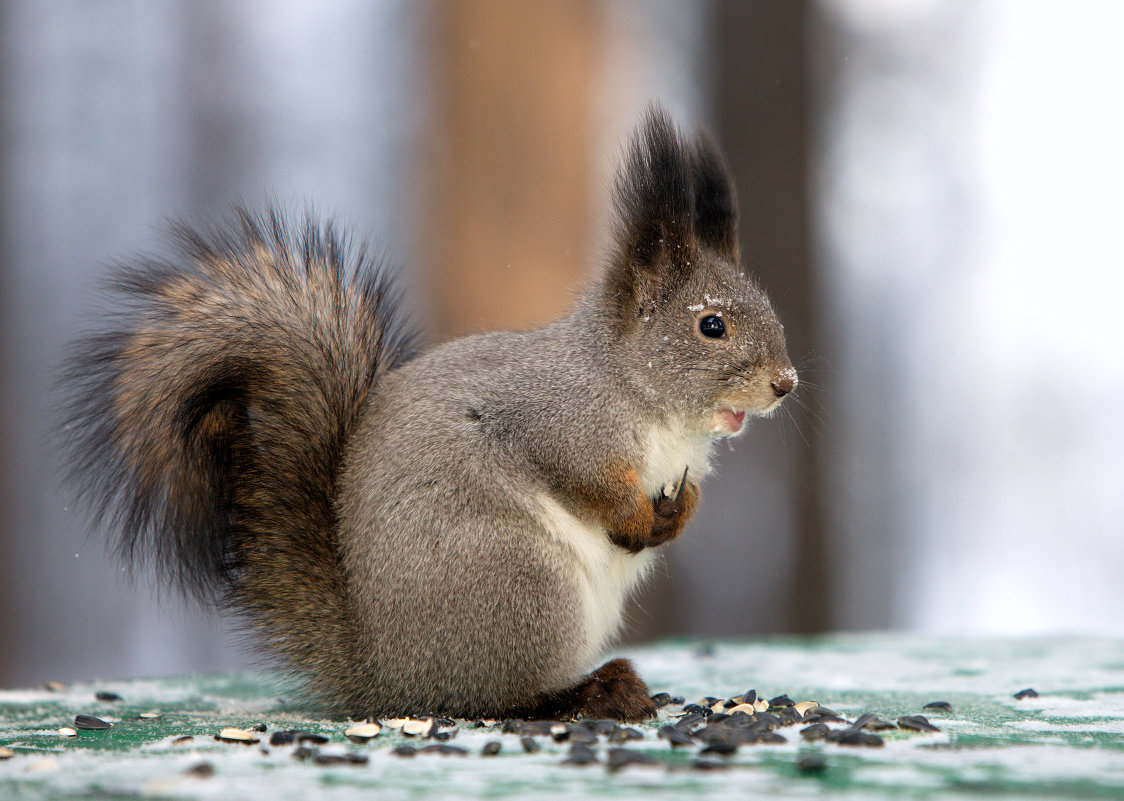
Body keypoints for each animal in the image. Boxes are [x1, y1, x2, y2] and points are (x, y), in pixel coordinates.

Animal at [63, 103, 800, 723]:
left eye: (766, 306)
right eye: (711, 326)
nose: (786, 383)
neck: (644, 399)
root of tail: (386, 676)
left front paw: (679, 517)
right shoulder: (557, 422)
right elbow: (585, 481)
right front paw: (636, 519)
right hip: (522, 585)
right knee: (496, 698)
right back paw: (587, 692)